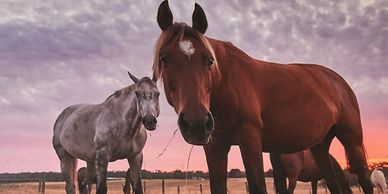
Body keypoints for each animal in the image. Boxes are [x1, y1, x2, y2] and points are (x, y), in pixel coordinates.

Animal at [154, 0, 372, 193]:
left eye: (209, 61)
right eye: (164, 58)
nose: (196, 123)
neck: (226, 82)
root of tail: (340, 82)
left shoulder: (250, 138)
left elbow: (258, 186)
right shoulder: (215, 146)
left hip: (351, 139)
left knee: (365, 182)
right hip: (319, 146)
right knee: (333, 183)